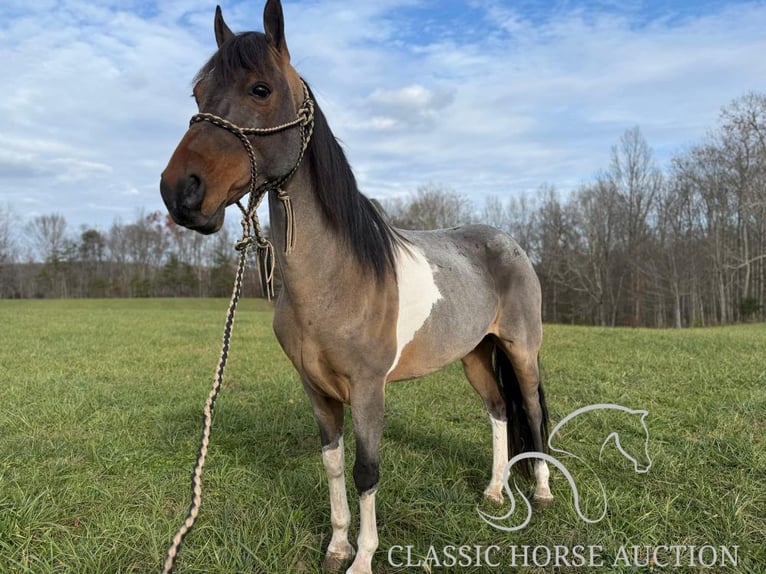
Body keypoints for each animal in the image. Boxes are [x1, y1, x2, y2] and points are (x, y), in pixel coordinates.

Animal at [160, 2, 552, 572]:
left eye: (260, 89)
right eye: (197, 94)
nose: (180, 191)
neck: (337, 281)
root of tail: (510, 244)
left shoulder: (368, 390)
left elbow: (367, 471)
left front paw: (363, 558)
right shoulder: (317, 389)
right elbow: (333, 464)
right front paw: (337, 546)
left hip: (521, 349)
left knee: (532, 411)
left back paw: (542, 491)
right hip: (476, 353)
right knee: (499, 410)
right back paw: (496, 492)